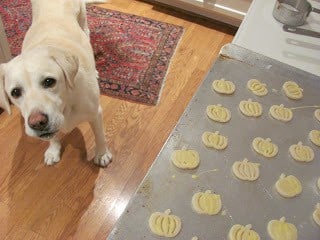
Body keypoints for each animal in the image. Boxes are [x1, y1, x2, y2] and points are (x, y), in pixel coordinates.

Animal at [0, 0, 112, 167]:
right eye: (15, 92)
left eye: (49, 81)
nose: (37, 122)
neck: (66, 104)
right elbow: (52, 137)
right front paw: (53, 151)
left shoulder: (95, 114)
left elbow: (100, 136)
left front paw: (102, 154)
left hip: (83, 20)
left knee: (86, 32)